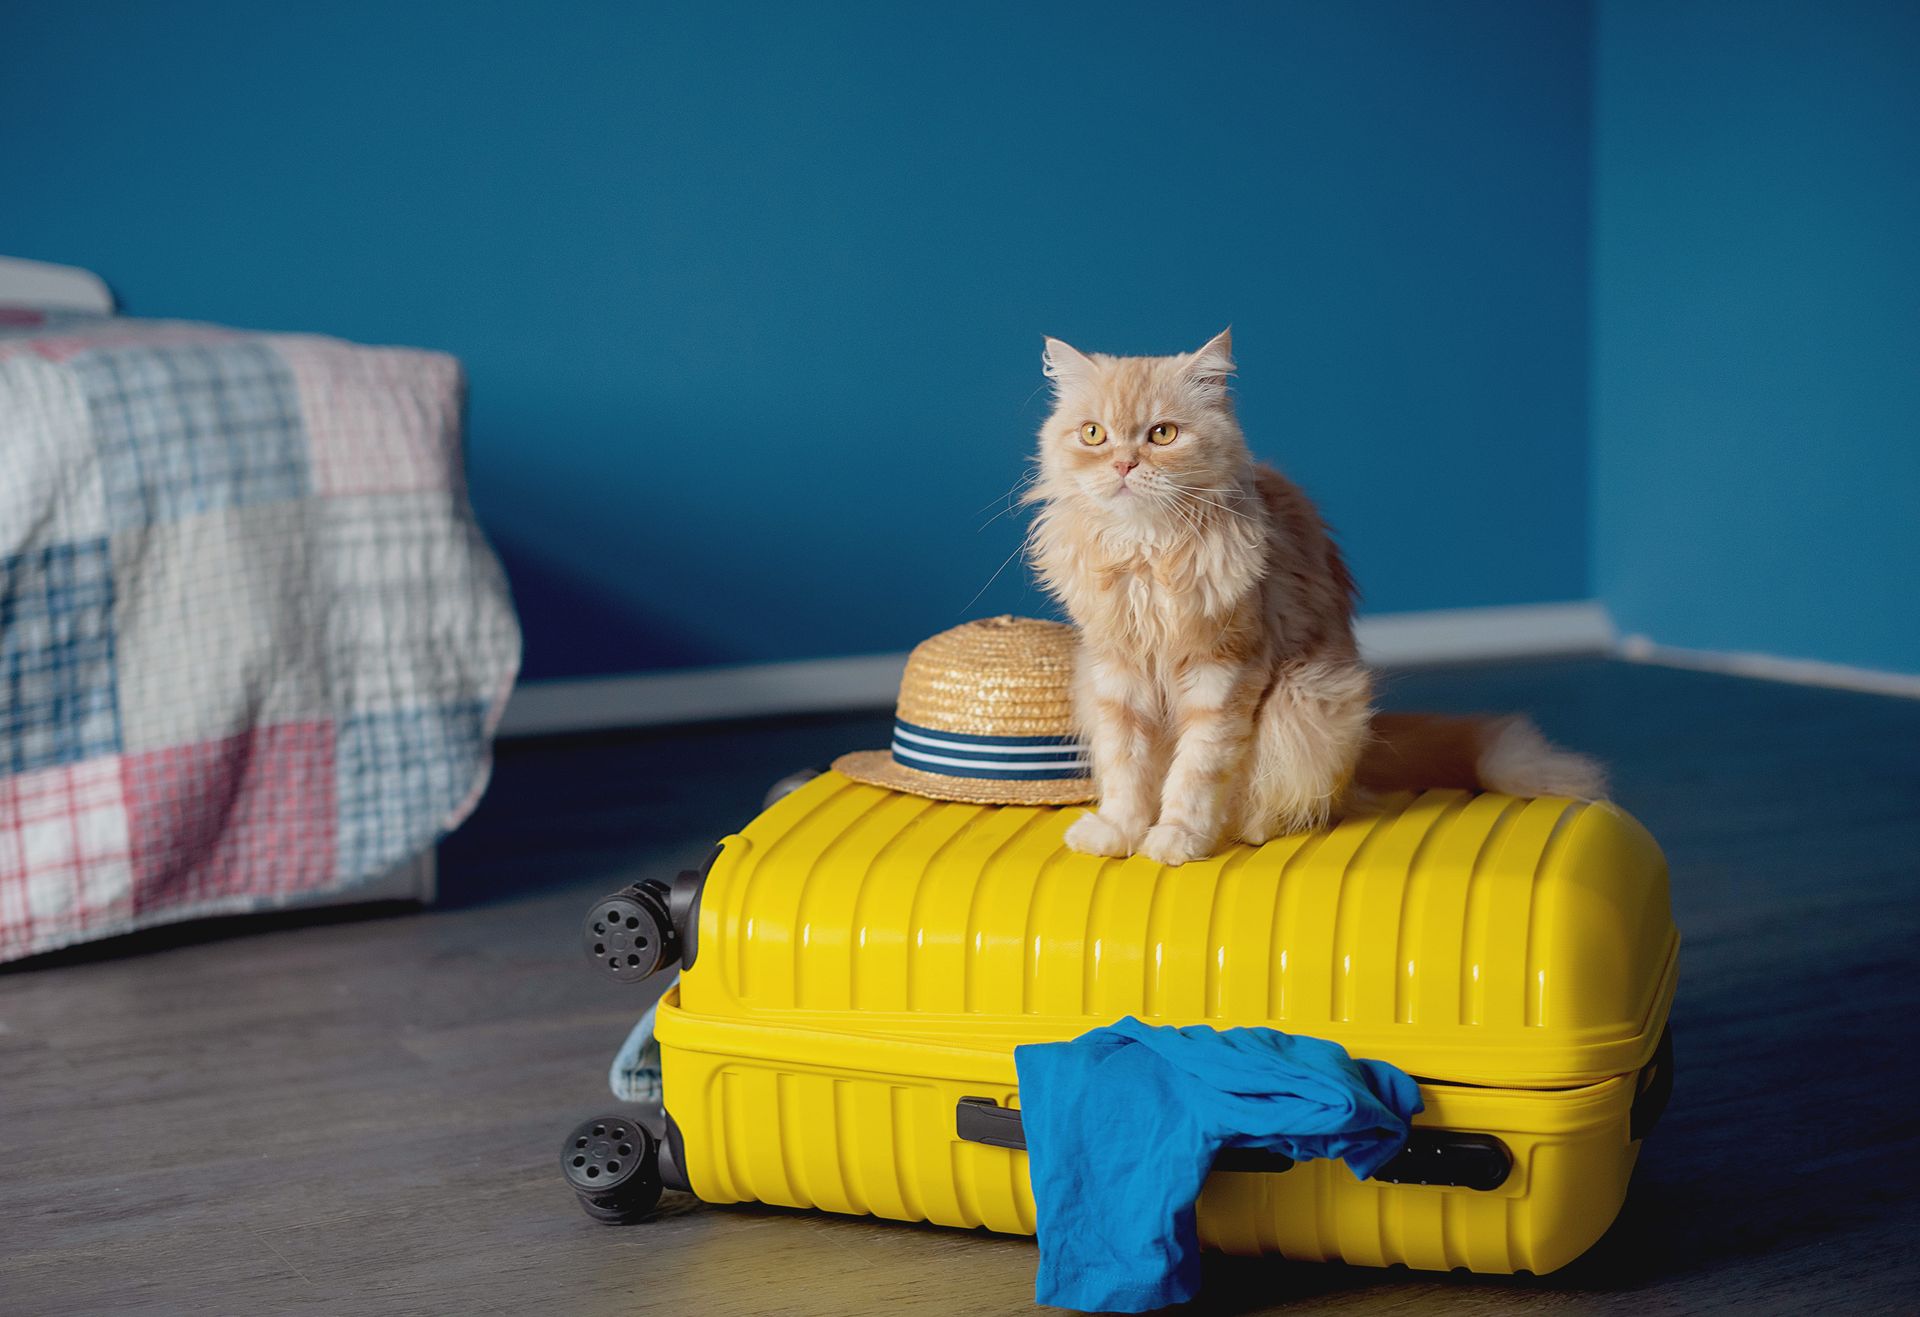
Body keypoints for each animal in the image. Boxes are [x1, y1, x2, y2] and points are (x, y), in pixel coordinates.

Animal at [1029, 330, 1597, 867]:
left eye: (1162, 434)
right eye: (1093, 434)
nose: (1123, 465)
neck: (1148, 557)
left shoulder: (1223, 671)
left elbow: (1195, 772)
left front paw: (1177, 839)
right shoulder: (1116, 674)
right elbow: (1127, 768)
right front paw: (1119, 832)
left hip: (1310, 700)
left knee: (1298, 800)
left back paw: (1251, 828)